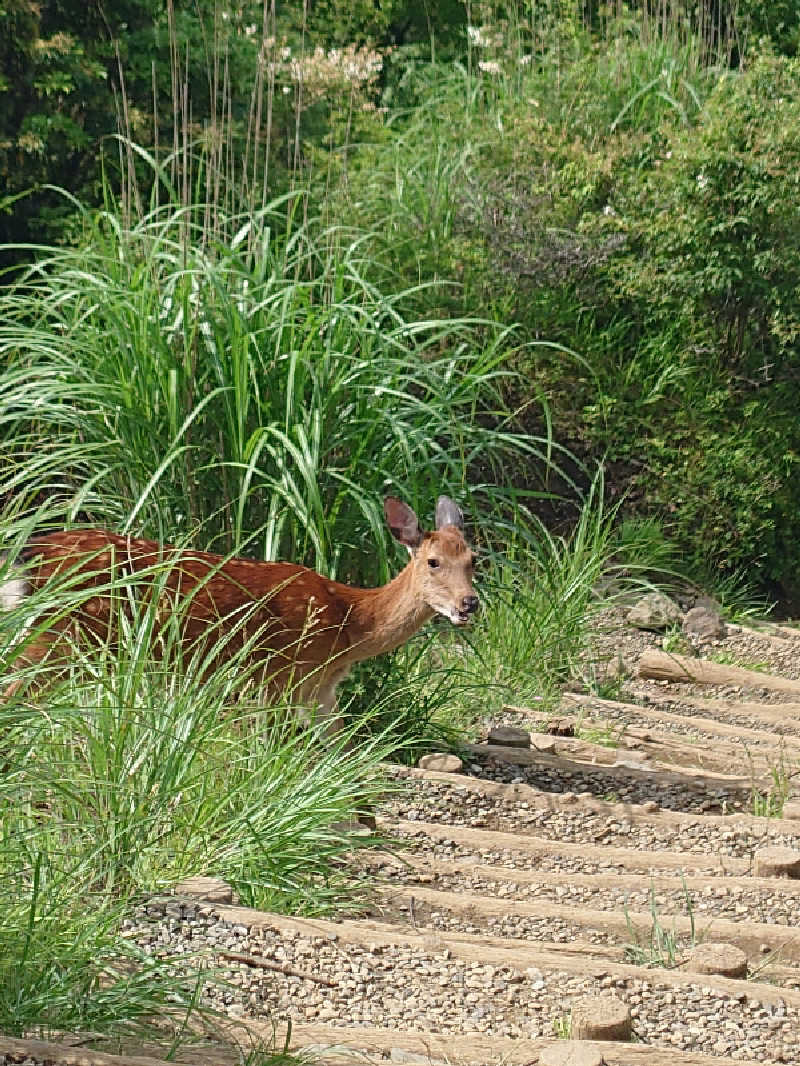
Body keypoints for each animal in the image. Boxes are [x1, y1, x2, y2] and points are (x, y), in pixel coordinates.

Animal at [0, 494, 480, 737]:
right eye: (433, 562)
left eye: (474, 559)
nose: (469, 604)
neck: (349, 623)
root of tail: (28, 555)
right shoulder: (280, 677)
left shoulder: (320, 690)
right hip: (59, 638)